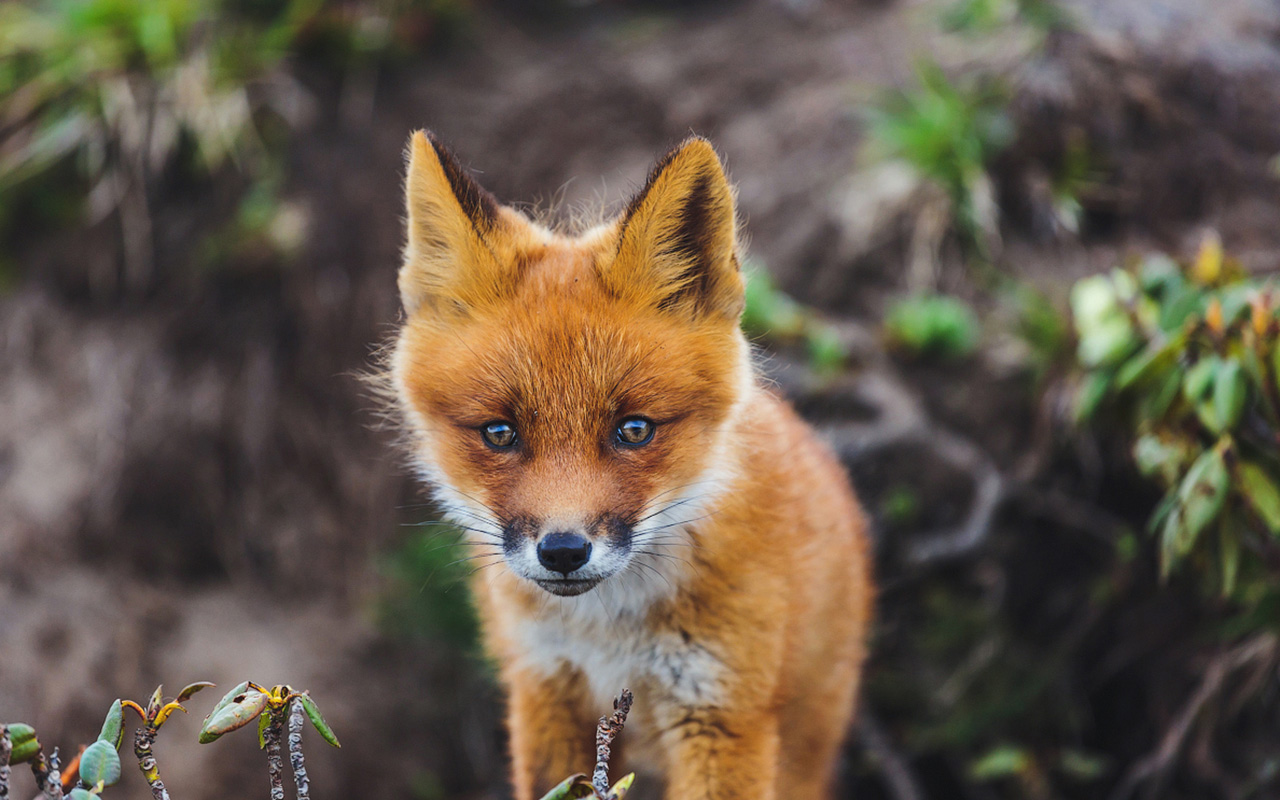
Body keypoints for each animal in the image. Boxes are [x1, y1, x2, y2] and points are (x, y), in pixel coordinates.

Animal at [384, 131, 875, 798]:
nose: (564, 551)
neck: (609, 633)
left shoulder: (721, 711)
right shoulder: (543, 687)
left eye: (634, 430)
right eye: (500, 433)